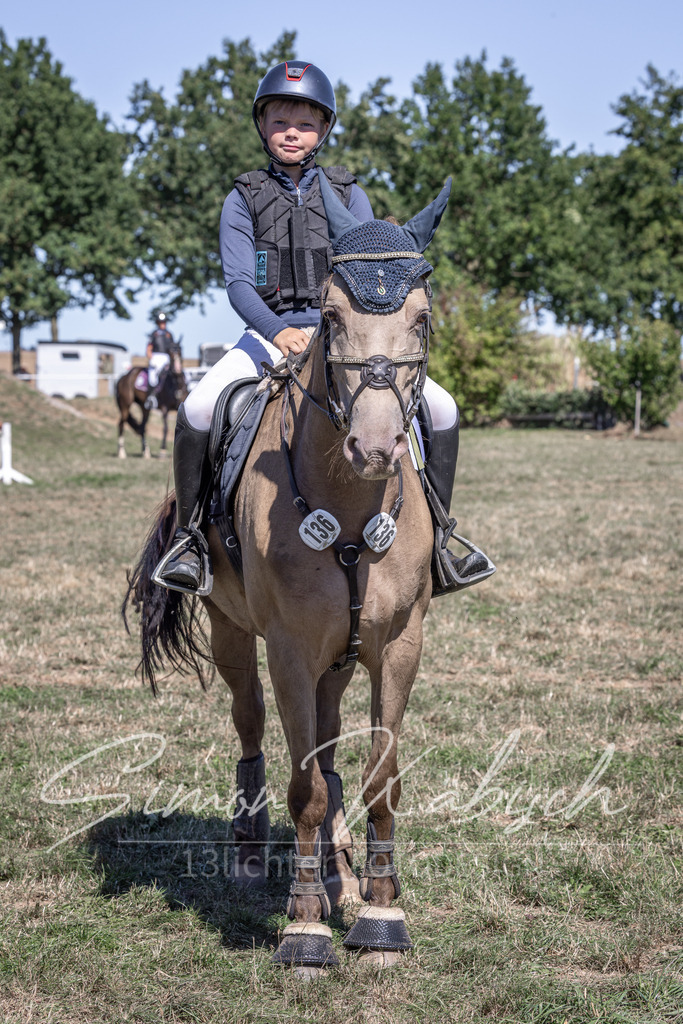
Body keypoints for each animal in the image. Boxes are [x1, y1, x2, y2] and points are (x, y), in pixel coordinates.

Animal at [125, 175, 453, 975]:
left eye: (423, 320)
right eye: (330, 318)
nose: (375, 446)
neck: (350, 501)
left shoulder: (399, 644)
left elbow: (377, 779)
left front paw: (379, 911)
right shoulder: (290, 650)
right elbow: (302, 784)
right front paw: (304, 929)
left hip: (344, 653)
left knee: (332, 751)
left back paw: (339, 872)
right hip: (234, 634)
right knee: (249, 727)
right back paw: (252, 853)